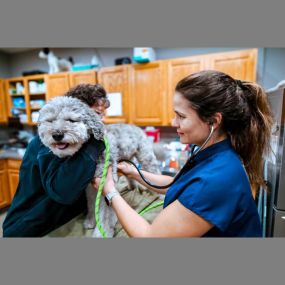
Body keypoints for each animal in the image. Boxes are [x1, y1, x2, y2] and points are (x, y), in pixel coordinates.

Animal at [37, 96, 160, 236]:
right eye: (50, 120)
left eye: (71, 120)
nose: (57, 135)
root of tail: (135, 126)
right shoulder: (90, 186)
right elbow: (91, 204)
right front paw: (91, 221)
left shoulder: (104, 183)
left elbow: (105, 214)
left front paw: (101, 233)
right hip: (127, 159)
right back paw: (132, 187)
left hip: (146, 158)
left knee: (156, 175)